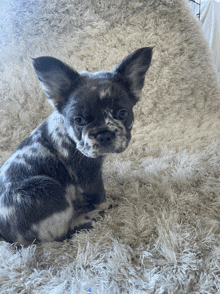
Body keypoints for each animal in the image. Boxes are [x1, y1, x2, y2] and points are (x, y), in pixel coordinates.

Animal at [0, 47, 152, 245]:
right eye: (79, 120)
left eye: (122, 113)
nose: (104, 134)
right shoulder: (87, 173)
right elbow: (99, 195)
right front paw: (104, 204)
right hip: (45, 188)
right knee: (59, 234)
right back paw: (91, 217)